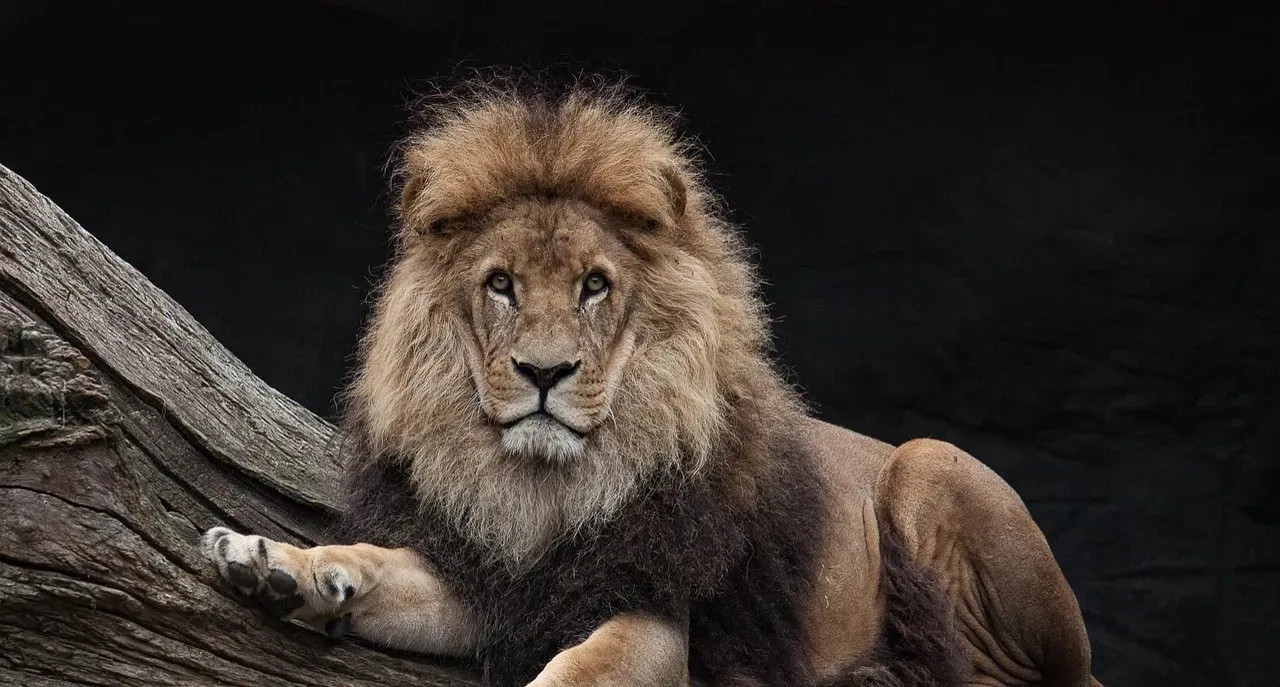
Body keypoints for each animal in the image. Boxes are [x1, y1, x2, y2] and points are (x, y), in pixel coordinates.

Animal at [200, 74, 1102, 687]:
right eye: (501, 284)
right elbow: (379, 561)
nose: (544, 372)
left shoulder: (658, 614)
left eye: (595, 285)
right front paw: (277, 561)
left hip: (928, 465)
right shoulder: (499, 582)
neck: (548, 489)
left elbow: (581, 668)